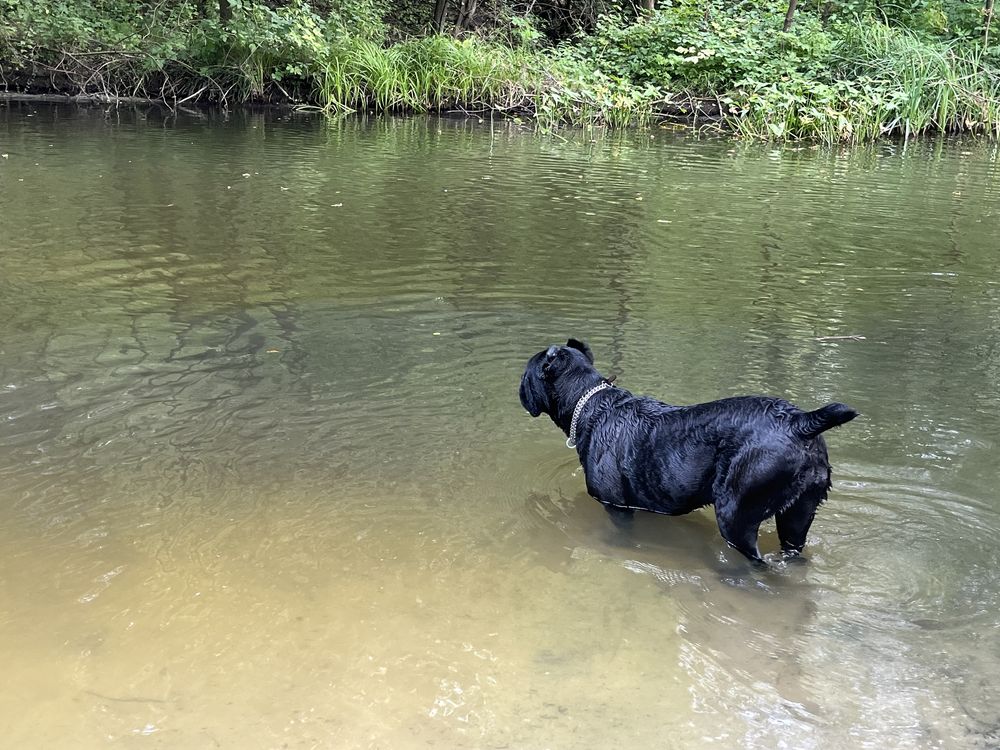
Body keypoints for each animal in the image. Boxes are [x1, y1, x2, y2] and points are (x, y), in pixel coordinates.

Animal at [520, 340, 856, 564]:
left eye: (526, 374)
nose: (519, 390)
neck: (590, 404)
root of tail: (799, 422)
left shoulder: (616, 507)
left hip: (737, 516)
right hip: (798, 514)